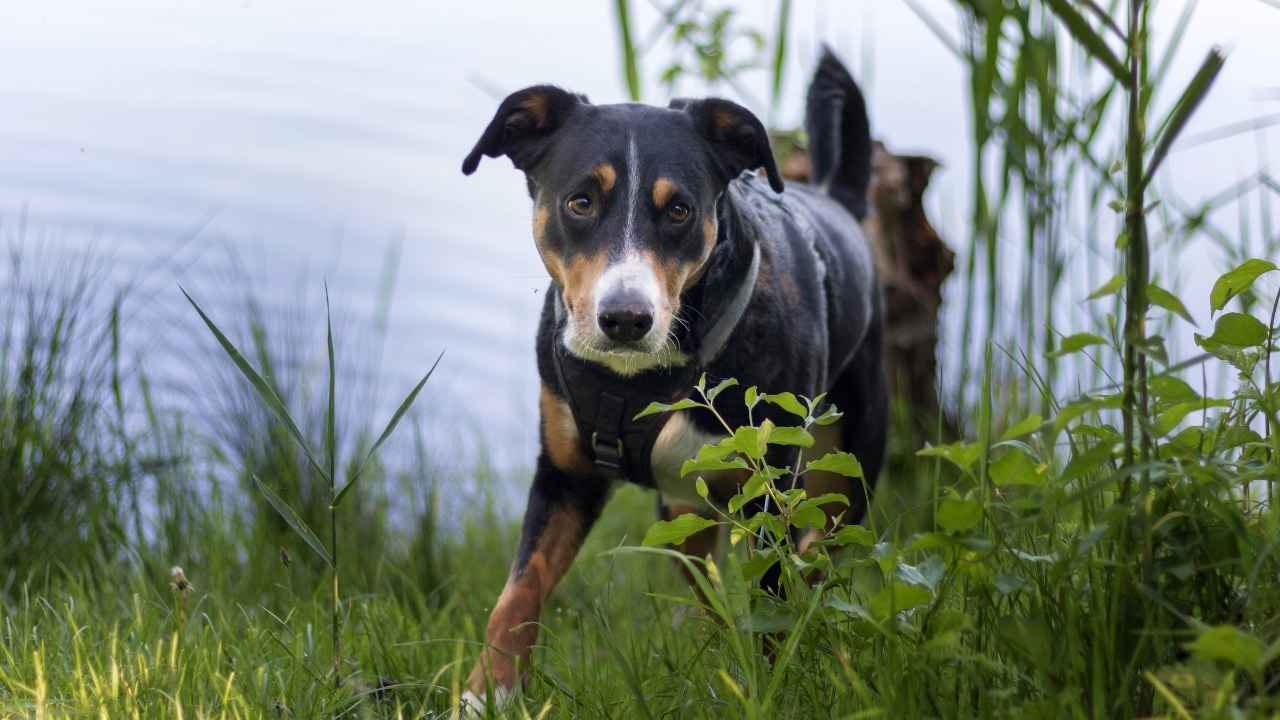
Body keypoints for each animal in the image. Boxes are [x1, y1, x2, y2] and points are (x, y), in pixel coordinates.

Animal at [460, 49, 890, 707]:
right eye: (580, 202)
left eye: (680, 210)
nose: (625, 318)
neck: (634, 380)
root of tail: (838, 199)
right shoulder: (565, 473)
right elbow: (518, 593)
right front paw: (489, 692)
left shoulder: (771, 494)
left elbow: (772, 602)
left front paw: (772, 689)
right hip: (684, 510)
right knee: (708, 588)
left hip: (846, 473)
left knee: (820, 556)